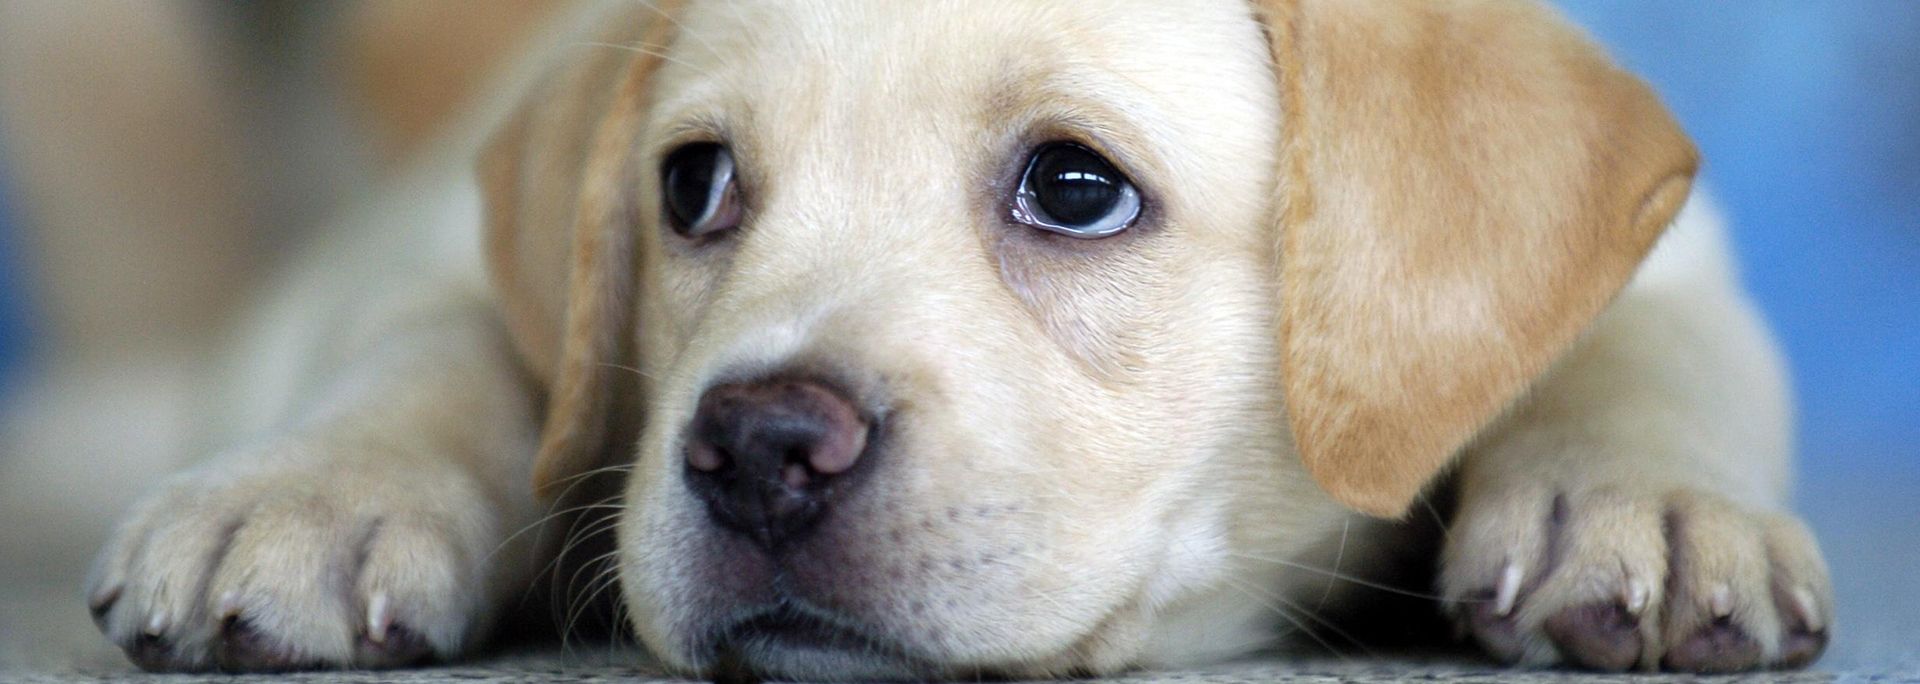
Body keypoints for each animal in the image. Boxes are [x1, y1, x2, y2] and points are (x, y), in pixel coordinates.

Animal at [86, 0, 1827, 680]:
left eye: (1074, 188)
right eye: (693, 187)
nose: (757, 451)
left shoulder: (1681, 260)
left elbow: (1647, 347)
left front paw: (1652, 509)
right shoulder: (456, 274)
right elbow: (445, 348)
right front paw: (312, 496)